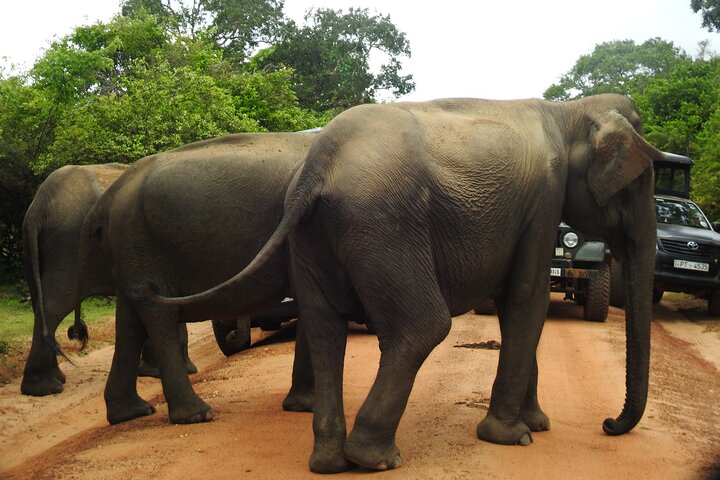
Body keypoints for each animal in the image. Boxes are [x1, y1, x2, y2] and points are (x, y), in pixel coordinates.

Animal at [72, 132, 317, 425]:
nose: (233, 334)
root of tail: (104, 202)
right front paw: (306, 406)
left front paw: (302, 405)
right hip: (140, 245)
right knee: (157, 314)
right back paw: (196, 414)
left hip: (129, 250)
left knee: (130, 318)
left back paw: (131, 413)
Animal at [152, 93, 664, 473]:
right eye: (638, 182)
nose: (608, 424)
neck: (568, 110)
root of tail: (318, 166)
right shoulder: (543, 203)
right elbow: (526, 299)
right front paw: (514, 437)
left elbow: (514, 303)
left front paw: (536, 425)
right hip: (385, 225)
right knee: (423, 326)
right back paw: (375, 459)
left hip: (314, 233)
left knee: (323, 329)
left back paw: (329, 462)